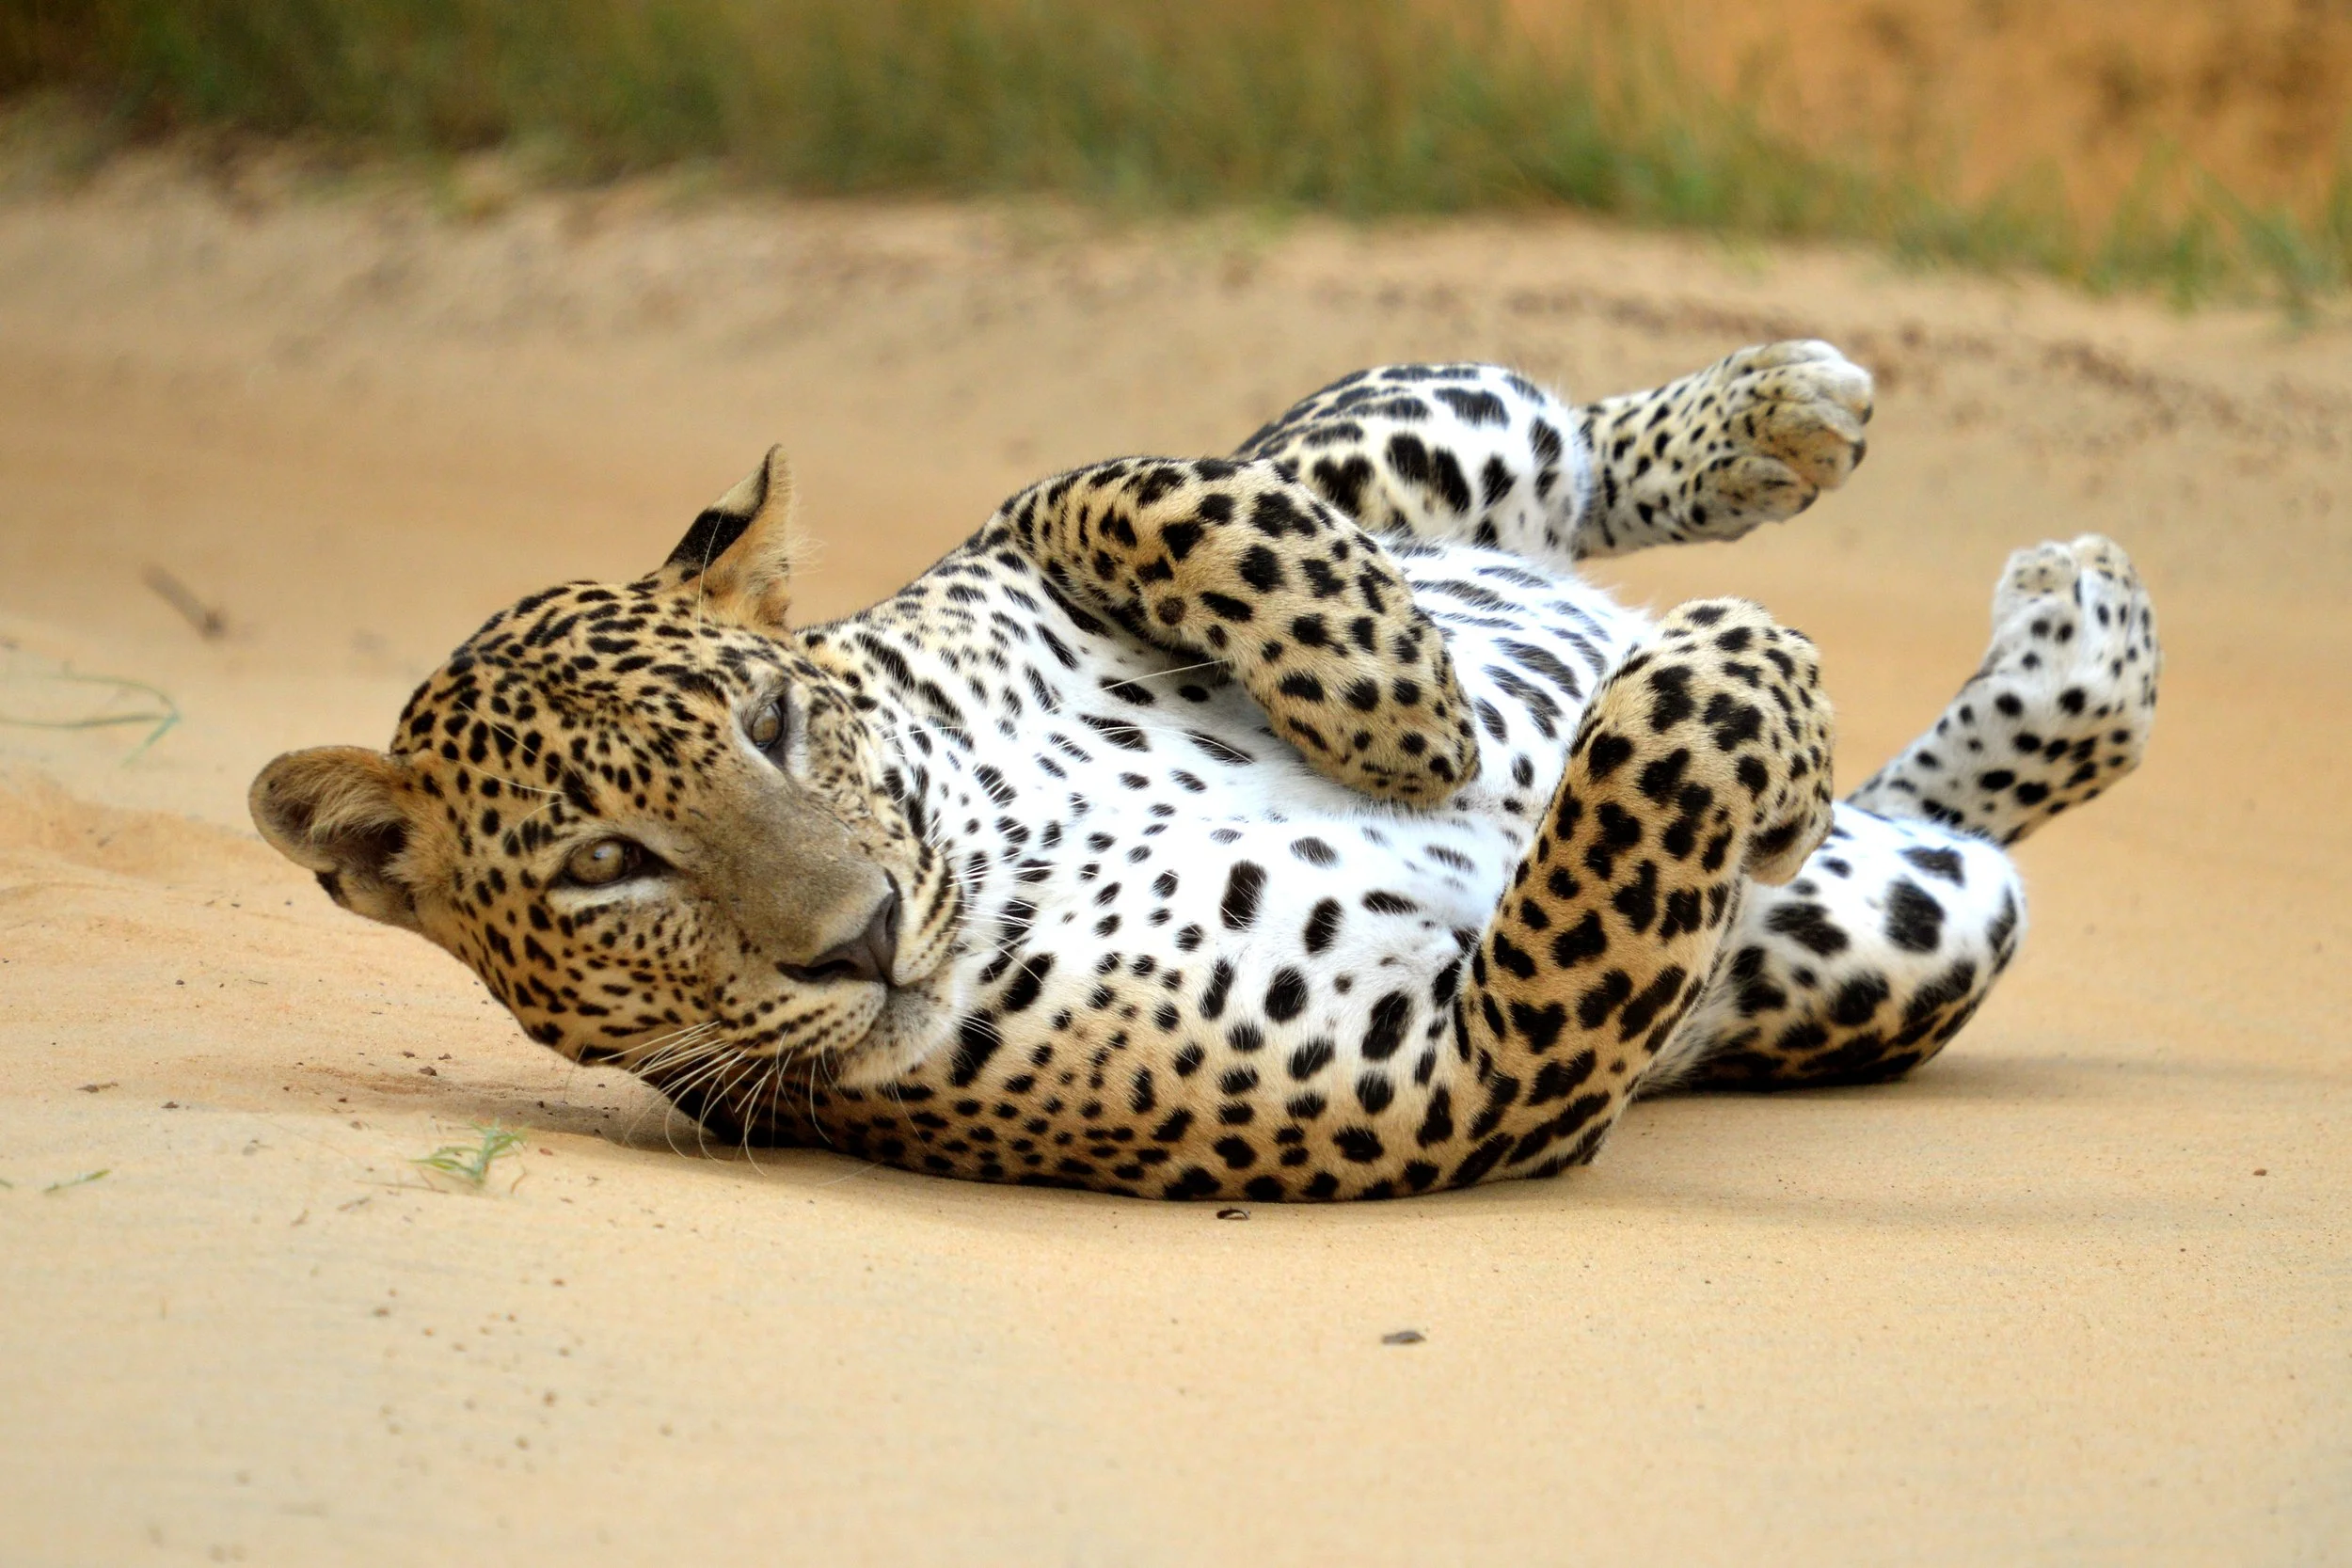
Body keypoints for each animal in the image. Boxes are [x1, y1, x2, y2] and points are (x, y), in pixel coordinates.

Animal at [250, 340, 2161, 1200]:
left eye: (772, 725)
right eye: (602, 868)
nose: (861, 935)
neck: (999, 833)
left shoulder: (1028, 541)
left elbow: (1118, 481)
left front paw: (1408, 715)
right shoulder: (1471, 1081)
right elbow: (1642, 782)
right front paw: (1724, 673)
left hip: (1406, 441)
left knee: (1497, 444)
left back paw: (1781, 422)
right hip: (1904, 928)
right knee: (1931, 818)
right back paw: (2057, 649)